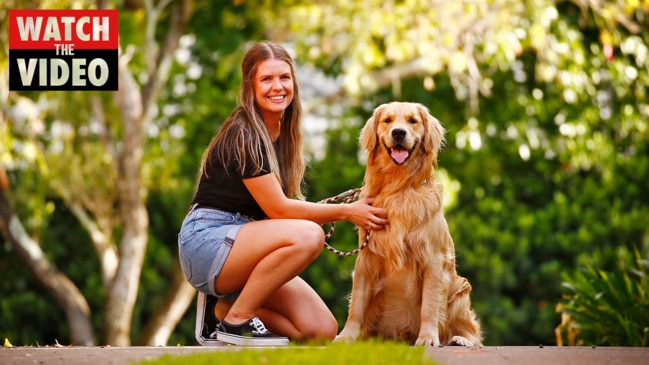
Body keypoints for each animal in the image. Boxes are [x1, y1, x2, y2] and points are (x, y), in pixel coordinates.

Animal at [334, 101, 480, 346]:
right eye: (388, 120)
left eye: (413, 121)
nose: (399, 133)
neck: (398, 188)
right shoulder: (366, 258)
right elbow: (356, 304)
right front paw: (346, 336)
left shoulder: (433, 259)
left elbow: (429, 305)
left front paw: (428, 337)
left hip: (461, 287)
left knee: (473, 333)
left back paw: (461, 340)